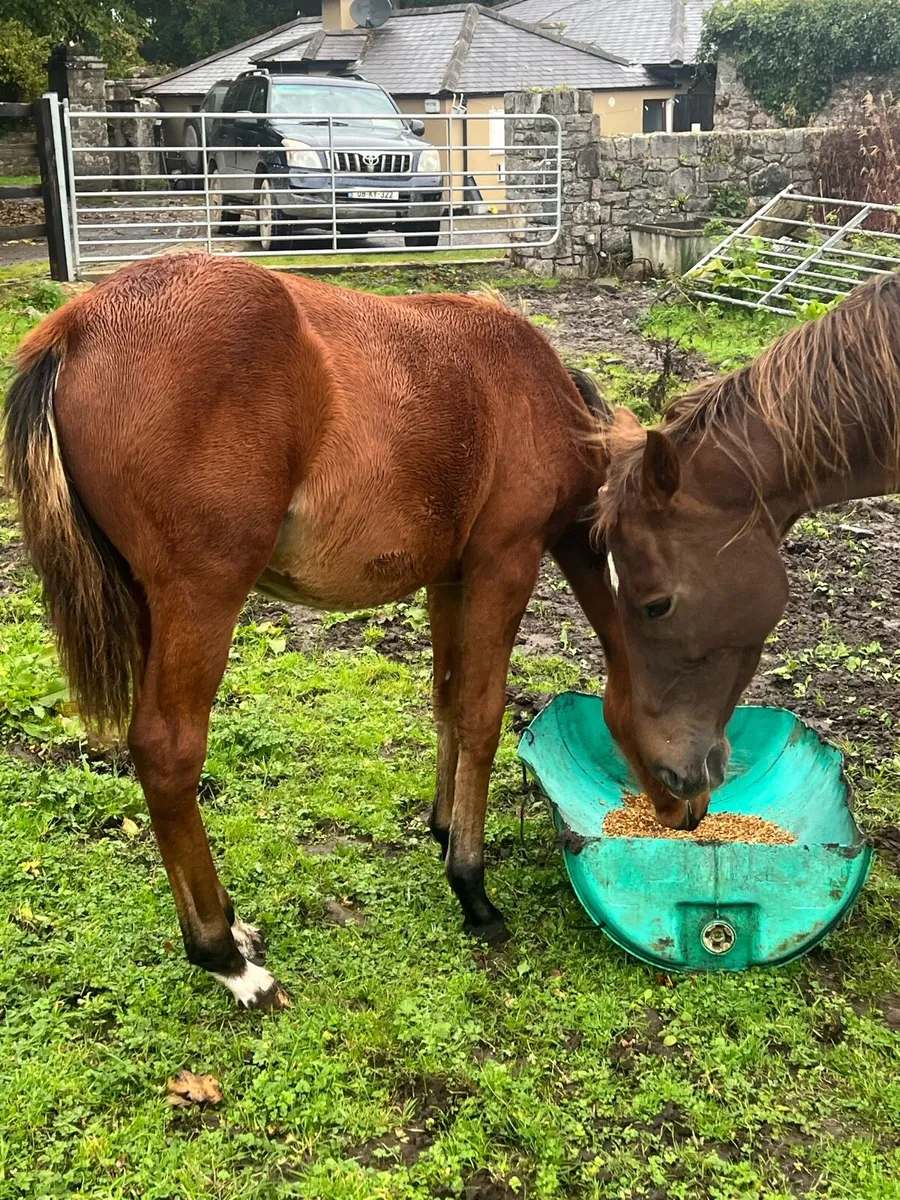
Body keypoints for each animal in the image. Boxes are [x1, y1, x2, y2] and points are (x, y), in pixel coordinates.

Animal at [4, 253, 667, 1009]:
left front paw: (444, 830)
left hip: (150, 605)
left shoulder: (450, 576)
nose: (690, 807)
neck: (537, 393)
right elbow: (481, 713)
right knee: (167, 752)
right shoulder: (507, 560)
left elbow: (447, 700)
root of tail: (76, 325)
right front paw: (471, 887)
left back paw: (232, 923)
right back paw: (223, 957)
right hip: (201, 597)